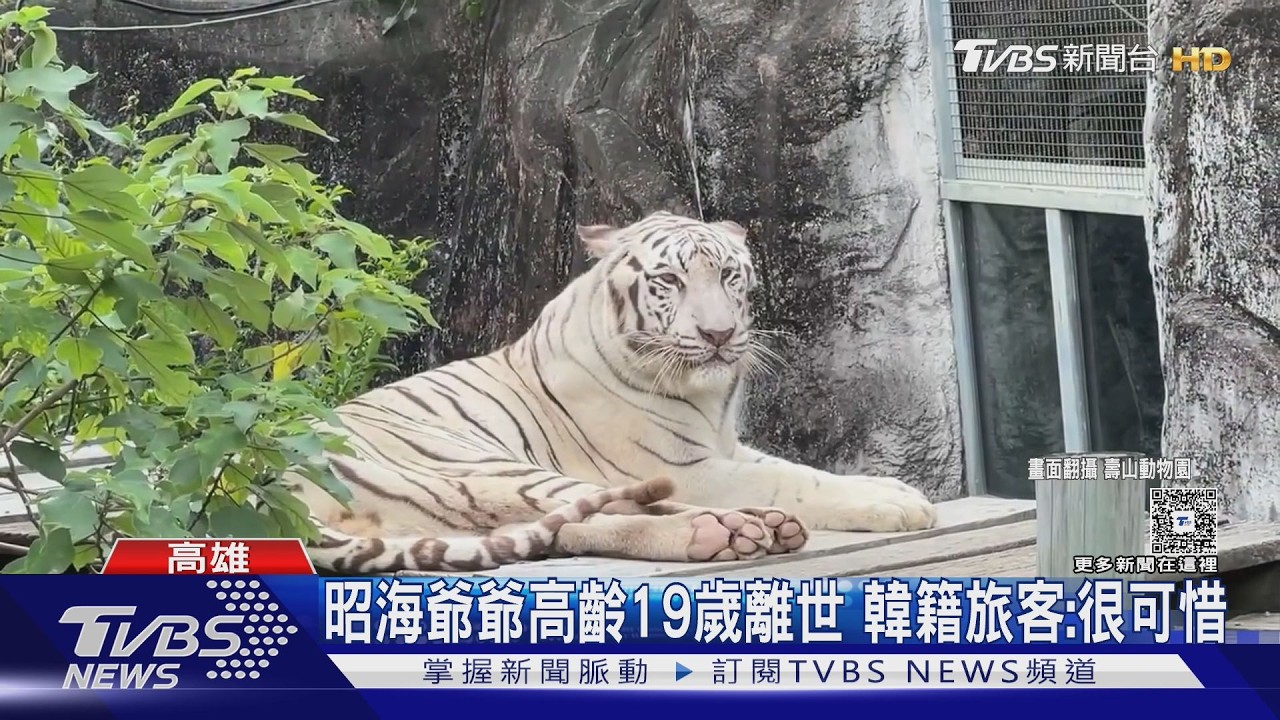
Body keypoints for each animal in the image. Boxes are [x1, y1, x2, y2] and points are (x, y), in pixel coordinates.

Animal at [294, 210, 937, 574]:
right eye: (669, 280)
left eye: (730, 275)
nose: (719, 334)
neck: (709, 398)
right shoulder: (687, 466)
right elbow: (795, 480)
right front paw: (898, 504)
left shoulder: (728, 448)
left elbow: (799, 468)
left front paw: (890, 487)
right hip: (480, 466)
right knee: (598, 510)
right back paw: (732, 530)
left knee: (557, 527)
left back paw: (743, 531)